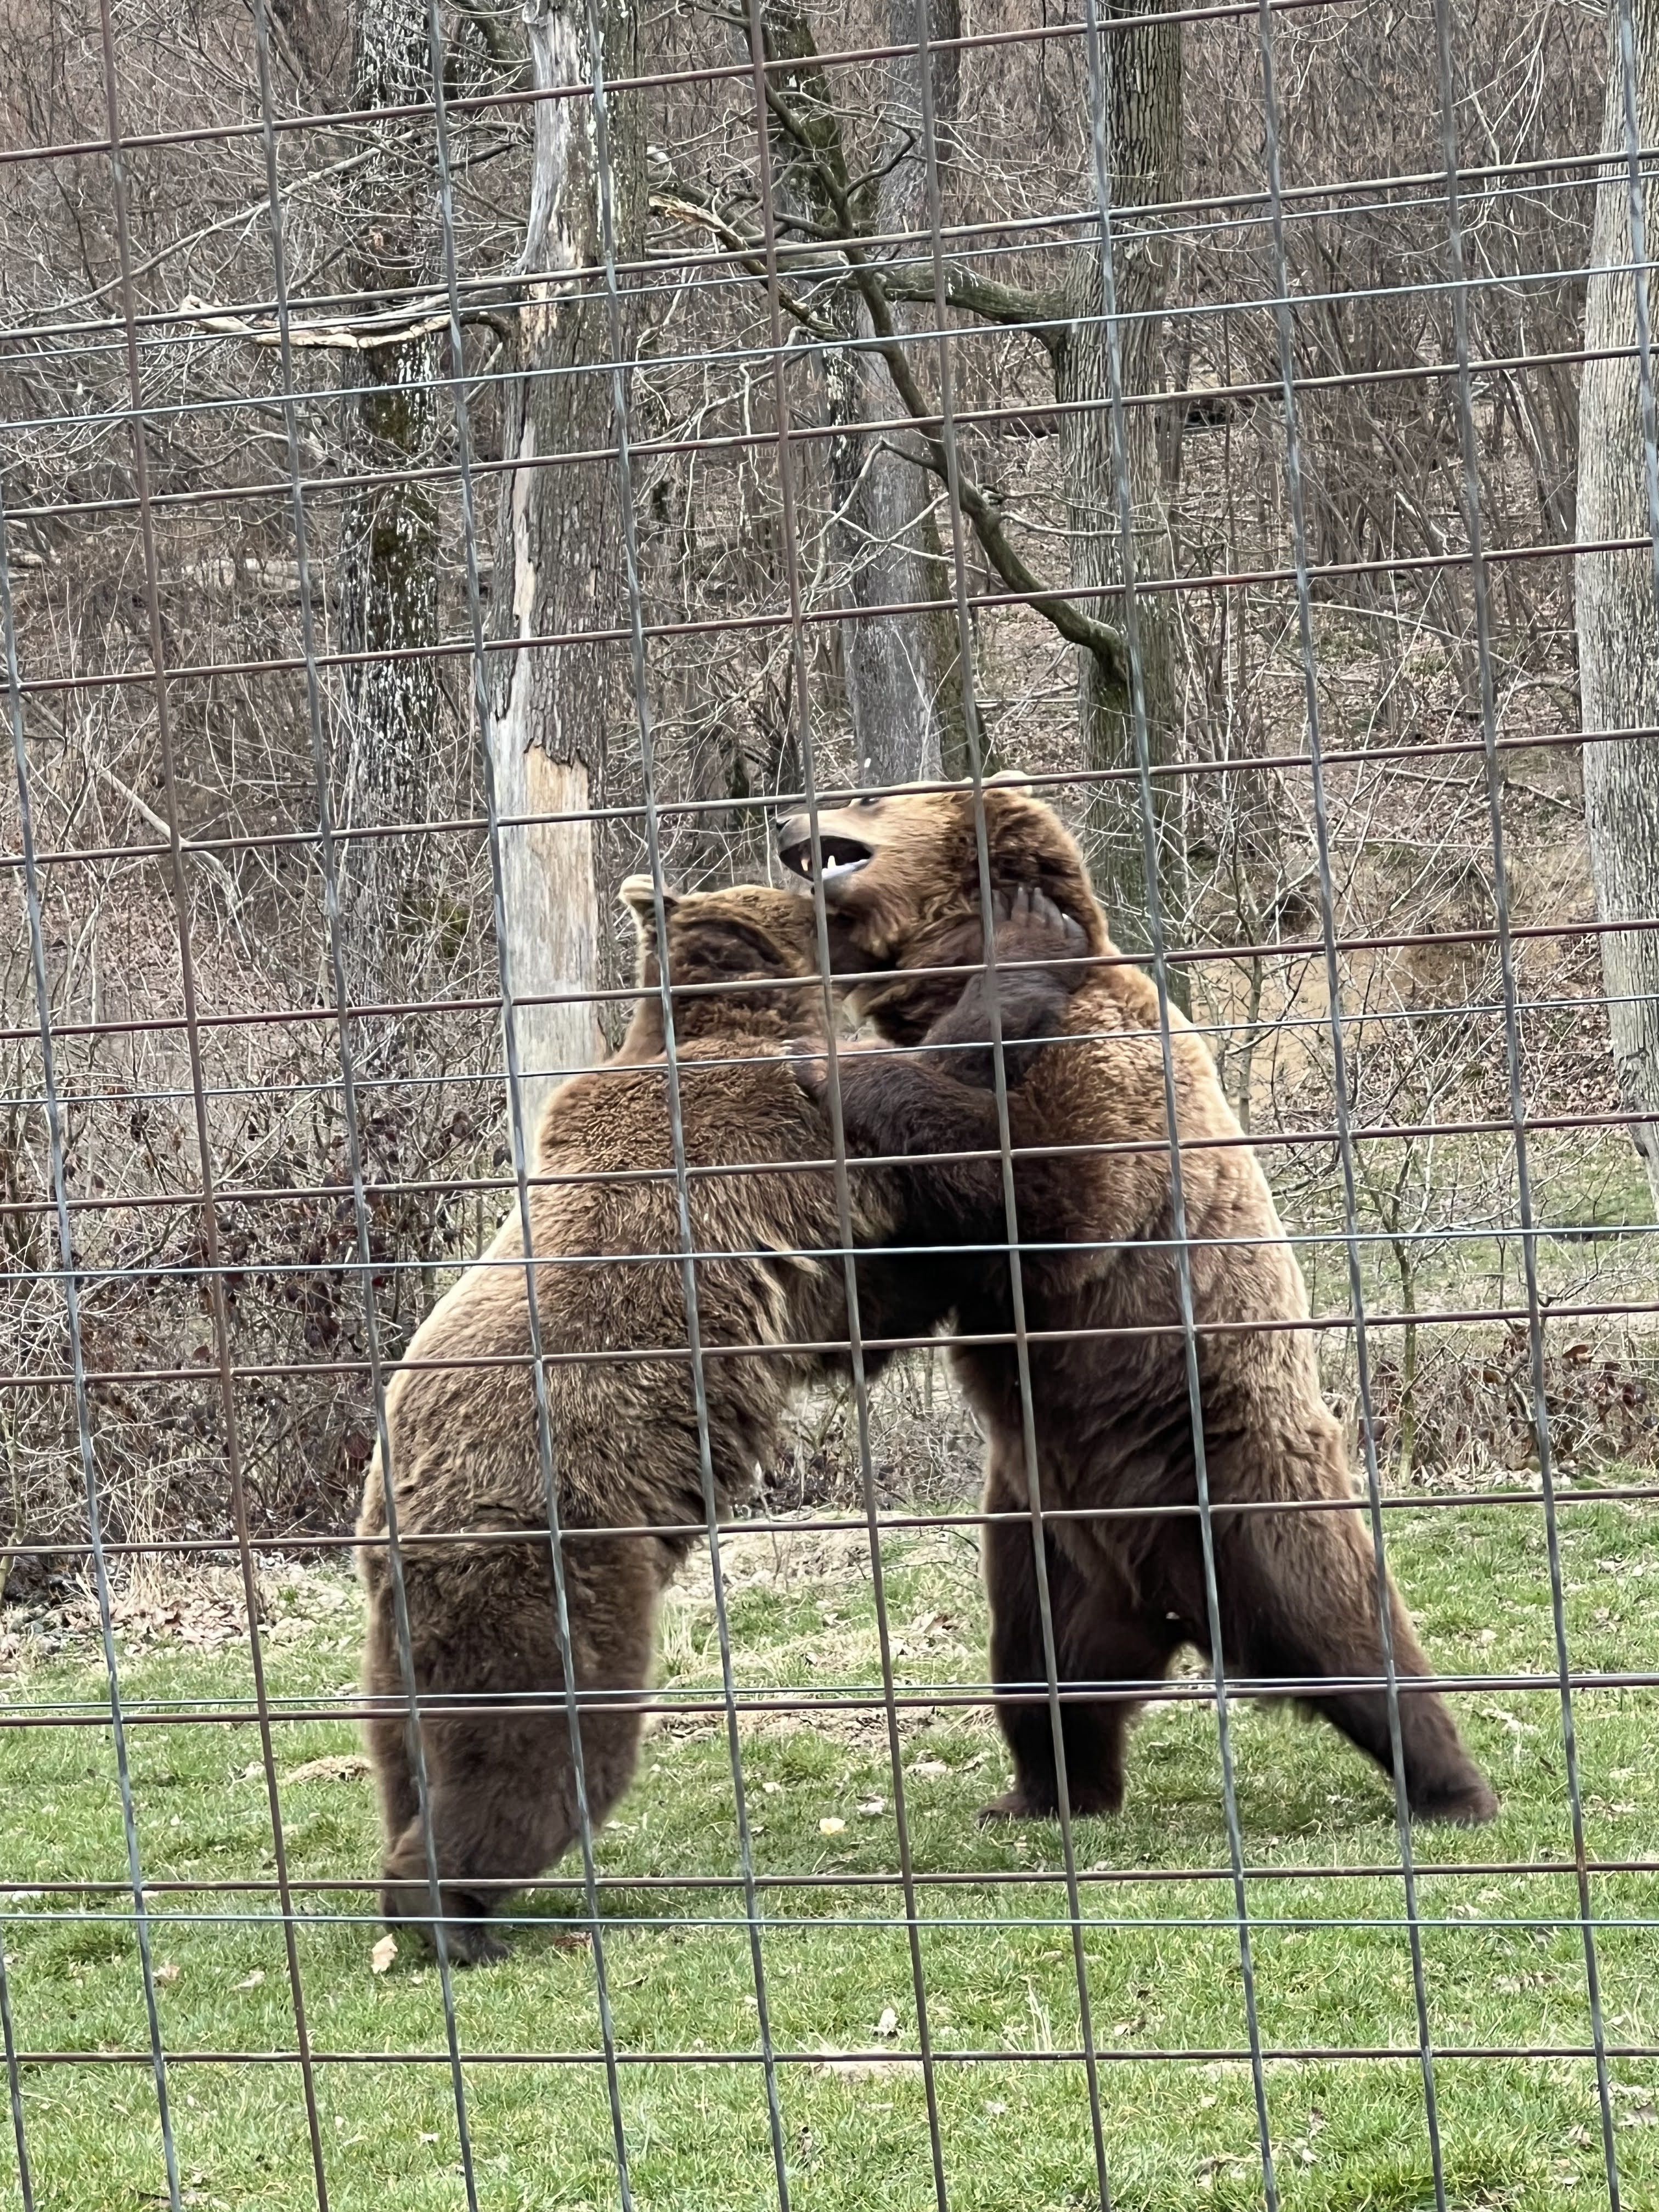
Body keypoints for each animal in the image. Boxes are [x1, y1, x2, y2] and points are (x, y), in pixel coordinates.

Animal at [356, 871, 1077, 1960]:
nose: (836, 875)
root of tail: (393, 1520)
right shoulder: (772, 1145)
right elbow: (900, 1152)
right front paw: (1024, 962)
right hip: (547, 1562)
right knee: (542, 1748)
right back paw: (451, 1917)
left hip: (401, 1636)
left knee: (407, 1752)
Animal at [777, 776, 1498, 1828]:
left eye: (868, 798)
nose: (786, 817)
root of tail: (1167, 1601)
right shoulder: (947, 1250)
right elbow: (885, 1291)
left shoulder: (1109, 1071)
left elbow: (1051, 1189)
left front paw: (830, 1056)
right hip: (1046, 1543)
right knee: (1044, 1672)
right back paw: (1044, 1790)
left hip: (1233, 1474)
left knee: (1342, 1623)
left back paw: (1452, 1785)